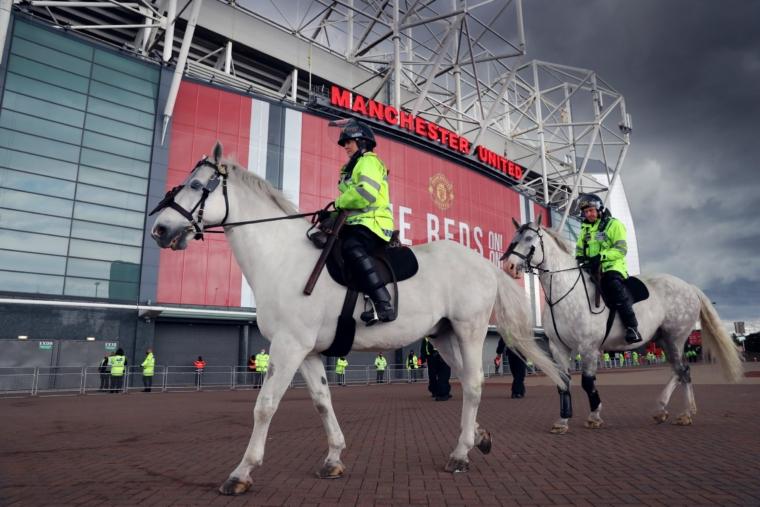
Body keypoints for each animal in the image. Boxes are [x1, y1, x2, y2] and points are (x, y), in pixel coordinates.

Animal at [150, 143, 564, 496]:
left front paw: (241, 472)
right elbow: (321, 400)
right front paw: (333, 457)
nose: (160, 229)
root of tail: (484, 264)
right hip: (444, 336)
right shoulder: (308, 351)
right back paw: (477, 437)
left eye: (196, 185)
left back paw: (460, 454)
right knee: (466, 382)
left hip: (469, 329)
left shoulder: (288, 345)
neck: (282, 257)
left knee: (475, 384)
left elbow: (265, 404)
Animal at [502, 220, 744, 434]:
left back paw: (685, 414)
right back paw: (662, 410)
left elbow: (588, 382)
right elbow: (563, 382)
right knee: (678, 370)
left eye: (529, 238)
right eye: (514, 238)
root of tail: (689, 287)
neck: (564, 293)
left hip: (675, 337)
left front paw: (594, 416)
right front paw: (562, 421)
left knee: (683, 371)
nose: (508, 266)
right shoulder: (558, 347)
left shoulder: (588, 347)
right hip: (663, 339)